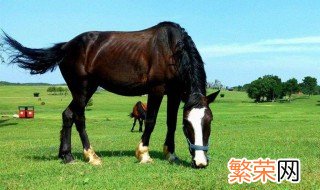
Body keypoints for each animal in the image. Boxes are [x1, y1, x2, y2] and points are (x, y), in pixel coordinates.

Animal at [3, 21, 220, 168]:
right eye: (189, 124)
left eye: (208, 122)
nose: (201, 162)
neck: (170, 49)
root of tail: (66, 46)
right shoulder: (156, 90)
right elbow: (151, 121)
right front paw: (143, 154)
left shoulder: (174, 93)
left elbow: (171, 123)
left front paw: (171, 154)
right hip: (81, 89)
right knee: (79, 118)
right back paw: (91, 156)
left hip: (87, 89)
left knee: (68, 115)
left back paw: (67, 156)